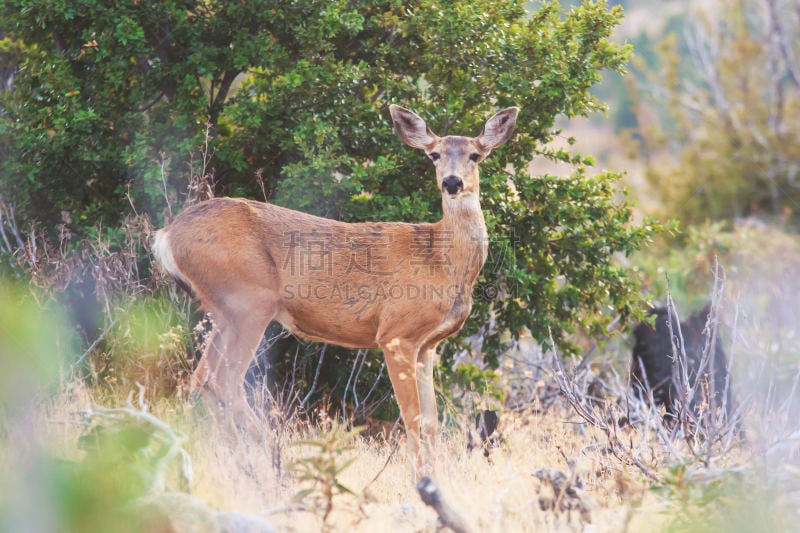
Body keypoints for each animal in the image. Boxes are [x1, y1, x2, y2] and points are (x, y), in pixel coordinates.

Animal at [153, 104, 520, 478]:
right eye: (434, 154)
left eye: (475, 154)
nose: (452, 182)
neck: (442, 261)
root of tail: (166, 236)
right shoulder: (395, 333)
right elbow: (412, 416)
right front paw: (419, 477)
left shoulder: (428, 345)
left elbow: (432, 420)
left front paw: (435, 475)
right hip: (250, 302)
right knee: (225, 381)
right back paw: (273, 459)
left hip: (225, 312)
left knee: (202, 378)